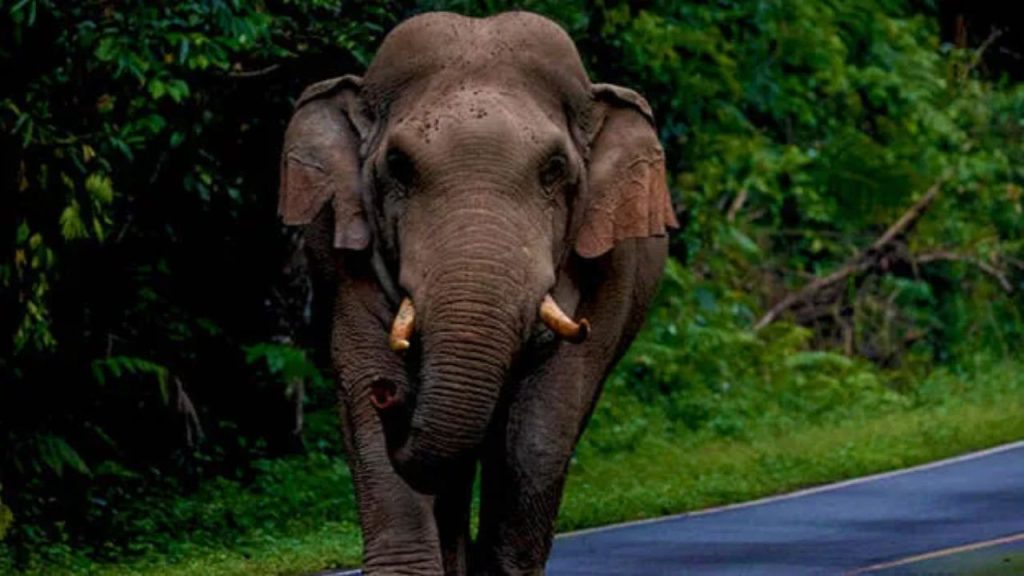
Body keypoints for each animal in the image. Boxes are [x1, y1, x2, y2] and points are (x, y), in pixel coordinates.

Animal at [278, 11, 678, 575]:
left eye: (554, 169)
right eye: (397, 165)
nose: (390, 394)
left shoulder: (607, 271)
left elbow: (538, 434)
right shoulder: (340, 256)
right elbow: (363, 402)